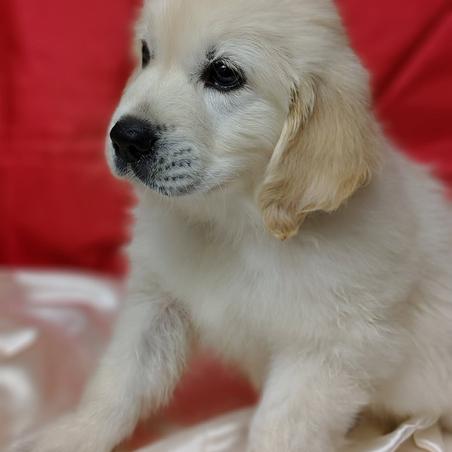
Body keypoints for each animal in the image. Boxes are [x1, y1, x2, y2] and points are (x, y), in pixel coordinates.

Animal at [22, 0, 452, 451]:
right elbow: (119, 381)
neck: (234, 224)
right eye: (145, 53)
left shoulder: (324, 352)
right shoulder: (157, 303)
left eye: (224, 74)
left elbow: (278, 431)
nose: (125, 137)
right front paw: (73, 434)